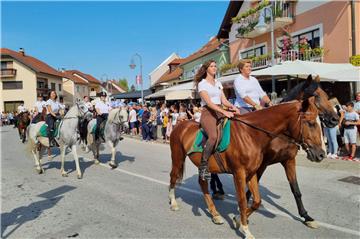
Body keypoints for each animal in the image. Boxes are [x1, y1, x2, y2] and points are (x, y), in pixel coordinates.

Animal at [169, 97, 324, 239]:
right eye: (310, 123)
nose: (321, 154)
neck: (250, 134)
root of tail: (180, 125)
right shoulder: (239, 173)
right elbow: (243, 201)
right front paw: (246, 230)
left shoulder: (253, 172)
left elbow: (257, 201)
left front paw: (238, 219)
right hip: (178, 158)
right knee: (173, 176)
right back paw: (173, 203)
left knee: (202, 183)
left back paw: (215, 214)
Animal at [245, 75, 338, 229]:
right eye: (316, 96)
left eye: (326, 95)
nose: (335, 119)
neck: (281, 133)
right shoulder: (262, 164)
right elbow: (253, 184)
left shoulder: (288, 160)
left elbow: (296, 190)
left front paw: (306, 216)